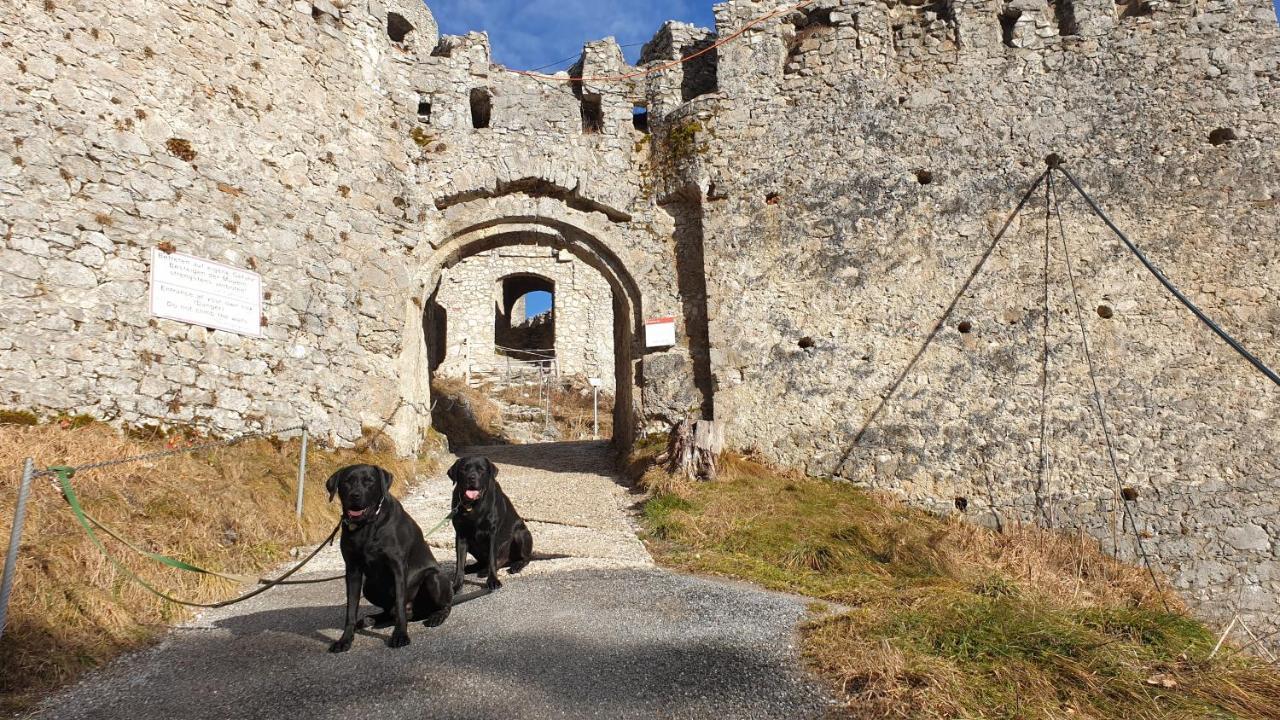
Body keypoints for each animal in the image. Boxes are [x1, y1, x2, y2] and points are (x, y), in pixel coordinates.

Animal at [327, 458, 453, 650]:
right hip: (369, 586)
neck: (366, 527)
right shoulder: (352, 570)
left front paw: (400, 635)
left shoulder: (398, 567)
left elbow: (400, 603)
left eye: (369, 481)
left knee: (441, 605)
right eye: (347, 481)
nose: (355, 495)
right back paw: (370, 619)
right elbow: (351, 609)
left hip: (434, 578)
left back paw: (436, 616)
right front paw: (345, 639)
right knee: (388, 611)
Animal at [448, 458, 532, 589]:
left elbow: (492, 559)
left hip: (520, 534)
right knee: (483, 562)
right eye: (463, 469)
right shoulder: (461, 535)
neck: (473, 505)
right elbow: (460, 562)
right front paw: (457, 584)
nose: (471, 478)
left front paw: (493, 580)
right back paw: (473, 568)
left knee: (524, 558)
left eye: (481, 469)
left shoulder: (492, 534)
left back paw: (514, 566)